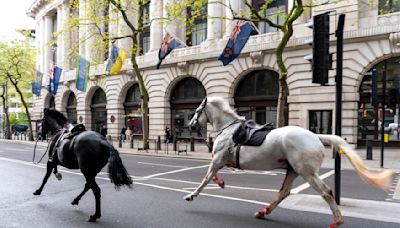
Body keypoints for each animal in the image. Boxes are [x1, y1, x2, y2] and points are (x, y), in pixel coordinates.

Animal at [185, 96, 394, 228]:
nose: (190, 125)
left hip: (306, 172)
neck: (229, 129)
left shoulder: (218, 159)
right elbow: (212, 175)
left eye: (197, 110)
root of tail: (316, 137)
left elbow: (206, 178)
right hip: (293, 170)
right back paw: (263, 212)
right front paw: (220, 182)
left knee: (326, 191)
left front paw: (191, 195)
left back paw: (337, 220)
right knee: (284, 192)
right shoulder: (222, 161)